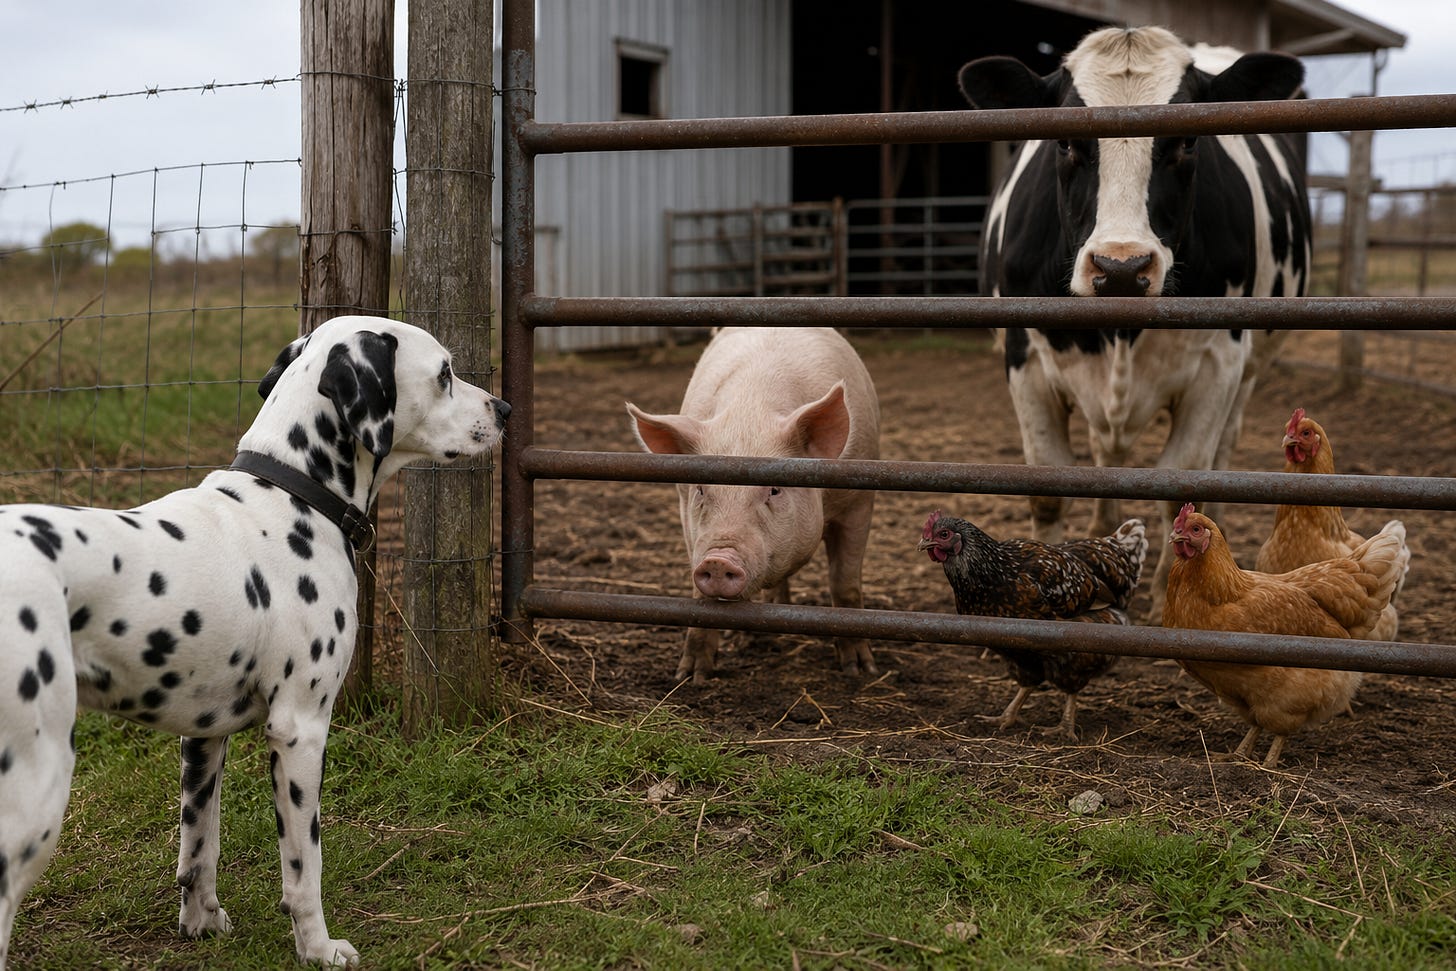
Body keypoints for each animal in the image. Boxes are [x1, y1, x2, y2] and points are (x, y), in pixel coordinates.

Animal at [625, 326, 881, 684]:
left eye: (774, 489)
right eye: (700, 489)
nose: (718, 559)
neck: (750, 414)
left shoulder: (858, 501)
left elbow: (844, 582)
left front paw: (859, 669)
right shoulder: (686, 514)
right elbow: (700, 599)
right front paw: (691, 676)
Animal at [957, 25, 1312, 620]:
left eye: (1188, 142)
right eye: (1065, 143)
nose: (1121, 268)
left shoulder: (1220, 362)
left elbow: (1183, 479)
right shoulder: (1024, 354)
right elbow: (1047, 485)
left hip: (1252, 368)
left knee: (1222, 448)